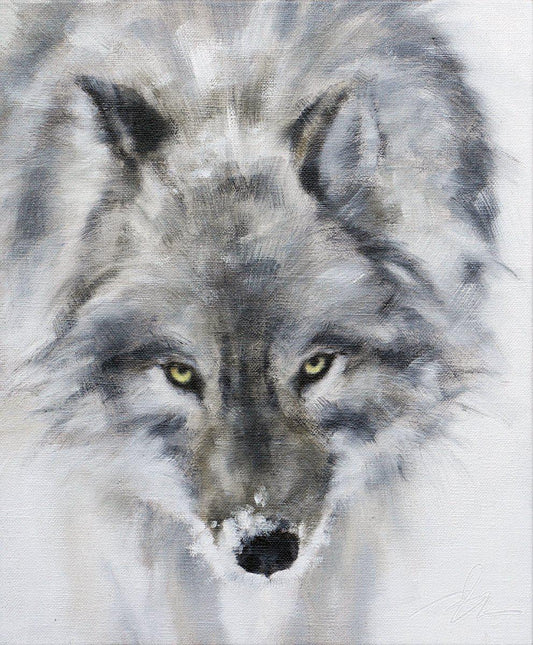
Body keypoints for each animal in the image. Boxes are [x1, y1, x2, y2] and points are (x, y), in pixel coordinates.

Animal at [0, 1, 496, 643]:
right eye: (181, 373)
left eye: (316, 365)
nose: (264, 550)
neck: (233, 102)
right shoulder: (129, 496)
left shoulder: (364, 495)